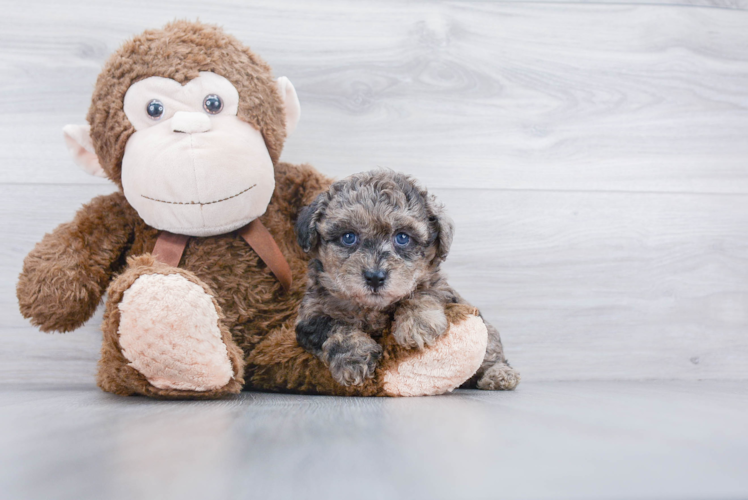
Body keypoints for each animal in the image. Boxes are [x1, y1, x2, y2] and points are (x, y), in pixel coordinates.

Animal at [294, 171, 520, 390]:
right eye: (348, 237)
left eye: (402, 238)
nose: (375, 277)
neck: (371, 308)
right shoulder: (310, 315)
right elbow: (334, 328)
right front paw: (354, 359)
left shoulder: (441, 287)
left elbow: (423, 291)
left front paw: (417, 324)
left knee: (491, 352)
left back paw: (499, 375)